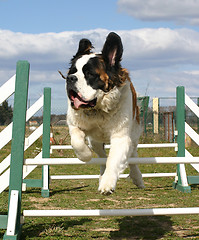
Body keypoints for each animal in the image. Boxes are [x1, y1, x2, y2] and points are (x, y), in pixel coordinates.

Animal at [59, 31, 144, 194]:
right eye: (72, 72)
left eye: (89, 74)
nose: (70, 78)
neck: (98, 109)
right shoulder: (74, 125)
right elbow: (76, 141)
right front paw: (85, 156)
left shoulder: (121, 137)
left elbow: (114, 159)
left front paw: (107, 184)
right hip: (95, 141)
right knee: (102, 156)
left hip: (134, 134)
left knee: (132, 156)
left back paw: (137, 178)